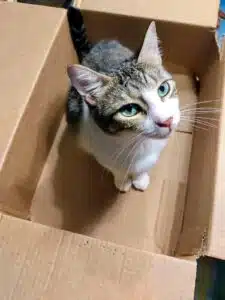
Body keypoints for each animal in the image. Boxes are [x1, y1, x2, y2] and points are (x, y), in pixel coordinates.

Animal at [66, 8, 180, 193]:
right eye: (129, 110)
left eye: (163, 89)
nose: (167, 121)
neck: (137, 143)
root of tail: (94, 48)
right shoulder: (99, 149)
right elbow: (115, 168)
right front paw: (122, 180)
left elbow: (146, 166)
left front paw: (140, 178)